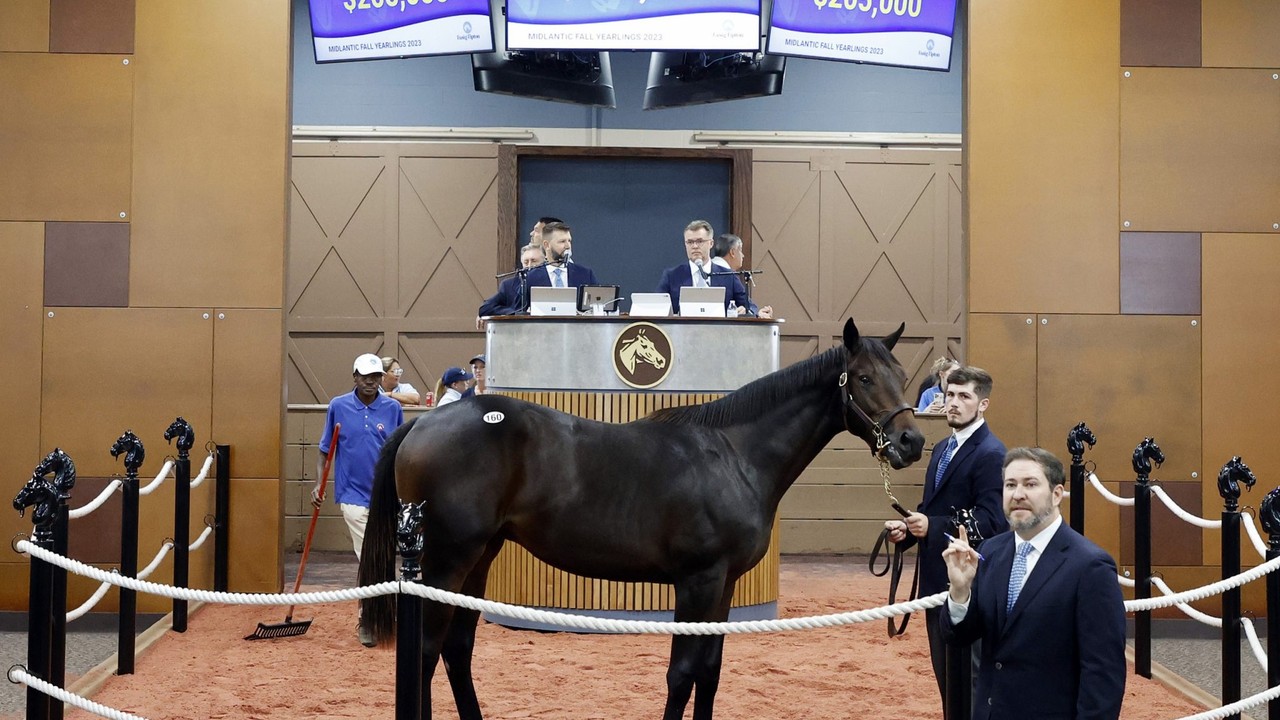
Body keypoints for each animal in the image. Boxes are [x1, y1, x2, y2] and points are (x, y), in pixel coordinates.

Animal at [355, 319, 926, 717]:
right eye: (865, 378)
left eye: (902, 376)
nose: (911, 442)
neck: (733, 455)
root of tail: (423, 423)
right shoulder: (697, 581)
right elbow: (681, 673)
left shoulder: (723, 586)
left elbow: (710, 672)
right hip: (447, 561)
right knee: (426, 650)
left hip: (479, 558)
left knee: (456, 649)